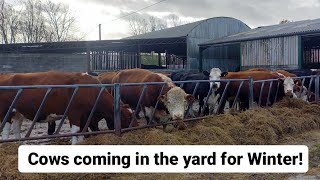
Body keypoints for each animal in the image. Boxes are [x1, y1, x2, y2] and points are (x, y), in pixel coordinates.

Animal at [0, 71, 136, 144]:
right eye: (128, 116)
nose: (136, 127)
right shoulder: (74, 112)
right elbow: (75, 131)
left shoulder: (85, 115)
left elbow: (82, 131)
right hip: (6, 112)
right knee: (6, 130)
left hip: (18, 113)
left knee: (16, 128)